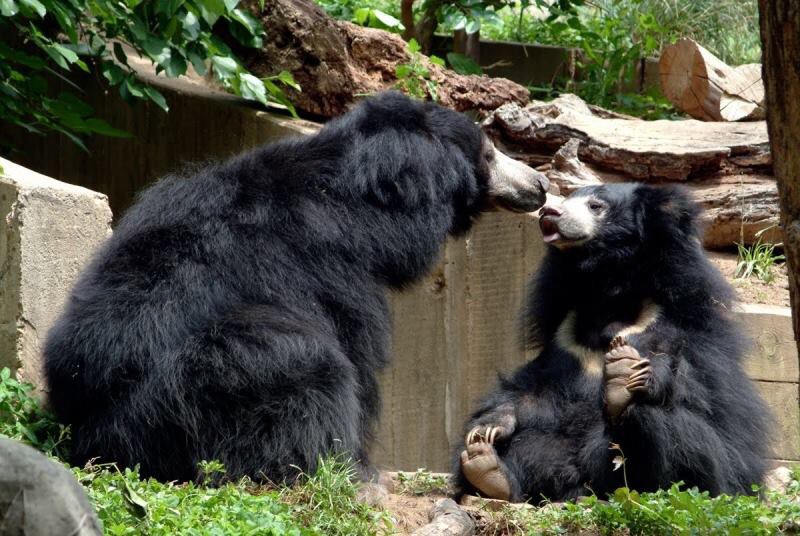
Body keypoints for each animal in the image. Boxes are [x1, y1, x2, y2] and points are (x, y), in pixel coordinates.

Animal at [43, 91, 549, 485]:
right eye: (487, 153)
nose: (541, 184)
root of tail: (99, 439)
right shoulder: (333, 271)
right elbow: (355, 353)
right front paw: (360, 468)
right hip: (194, 393)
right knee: (299, 361)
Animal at [455, 183, 772, 502]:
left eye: (597, 206)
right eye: (567, 199)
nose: (549, 211)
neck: (608, 294)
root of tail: (583, 488)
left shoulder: (681, 326)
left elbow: (696, 386)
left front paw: (627, 370)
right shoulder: (564, 341)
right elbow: (535, 390)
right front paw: (487, 428)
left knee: (660, 424)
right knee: (530, 447)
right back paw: (488, 470)